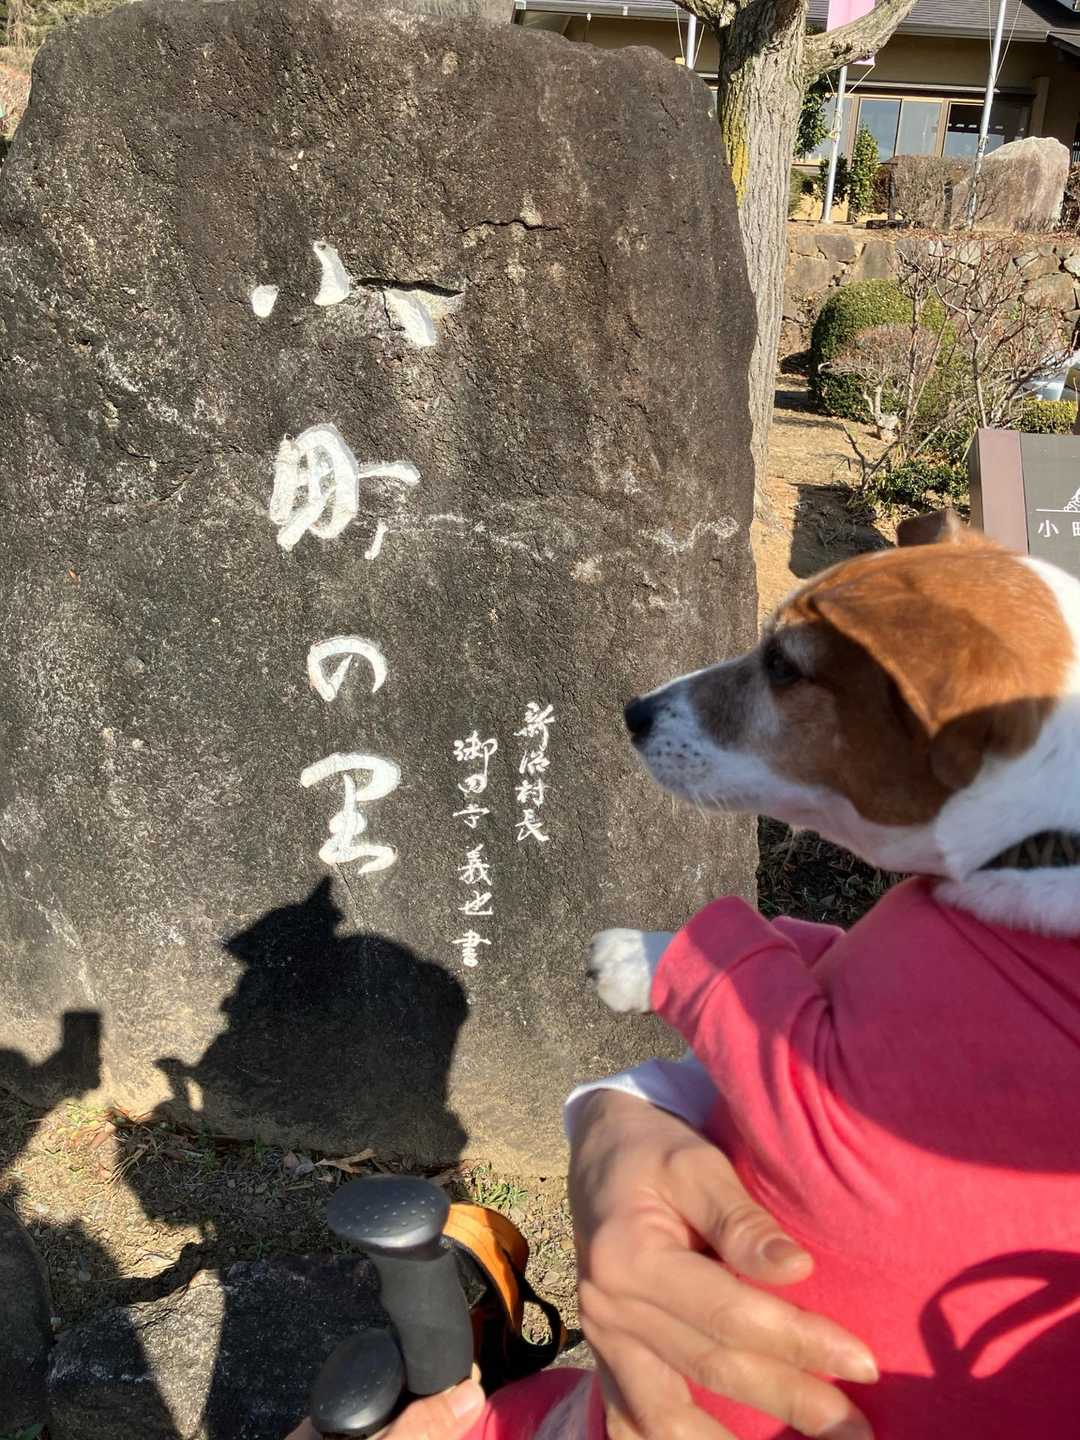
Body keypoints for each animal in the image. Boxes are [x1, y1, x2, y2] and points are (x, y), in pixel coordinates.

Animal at [586, 511, 1080, 1437]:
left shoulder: (818, 1122)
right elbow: (794, 942)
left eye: (784, 666)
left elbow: (736, 953)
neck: (1044, 843)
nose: (631, 711)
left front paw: (633, 957)